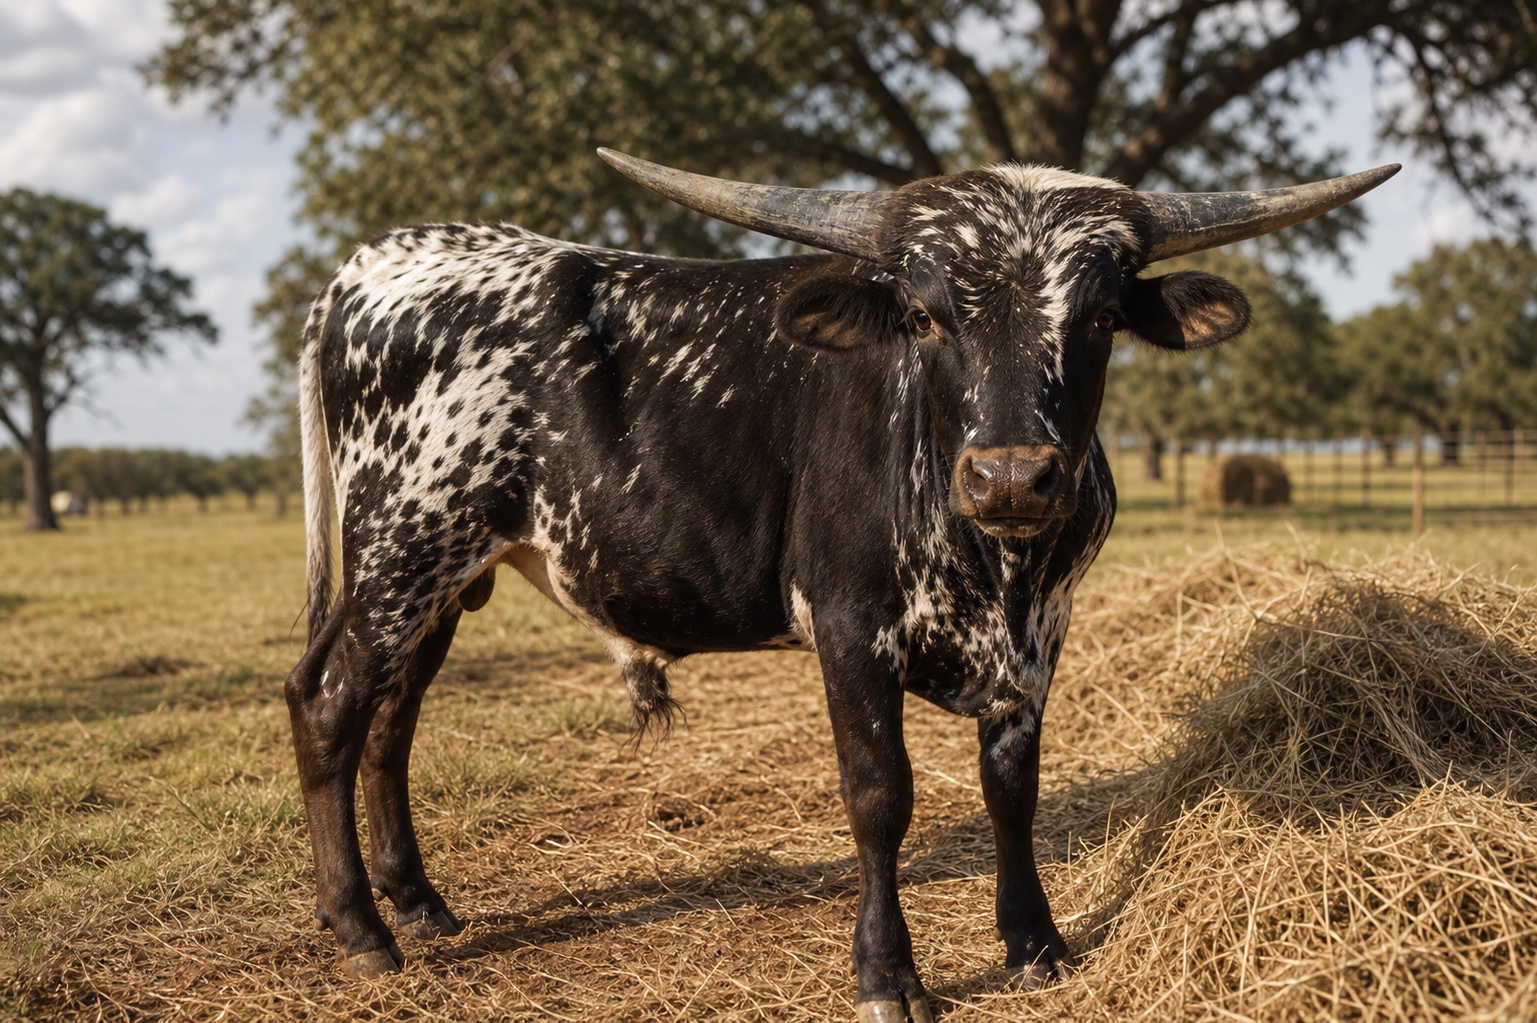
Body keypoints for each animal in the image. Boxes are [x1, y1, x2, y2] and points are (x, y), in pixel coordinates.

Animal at [285, 148, 1396, 1021]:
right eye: (925, 314)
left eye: (1101, 317)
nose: (1011, 477)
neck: (996, 572)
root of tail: (379, 264)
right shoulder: (851, 626)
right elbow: (879, 796)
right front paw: (888, 975)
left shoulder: (1044, 634)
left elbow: (1012, 790)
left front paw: (1033, 943)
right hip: (403, 548)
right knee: (329, 702)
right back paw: (361, 929)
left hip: (441, 578)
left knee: (392, 722)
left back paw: (420, 904)